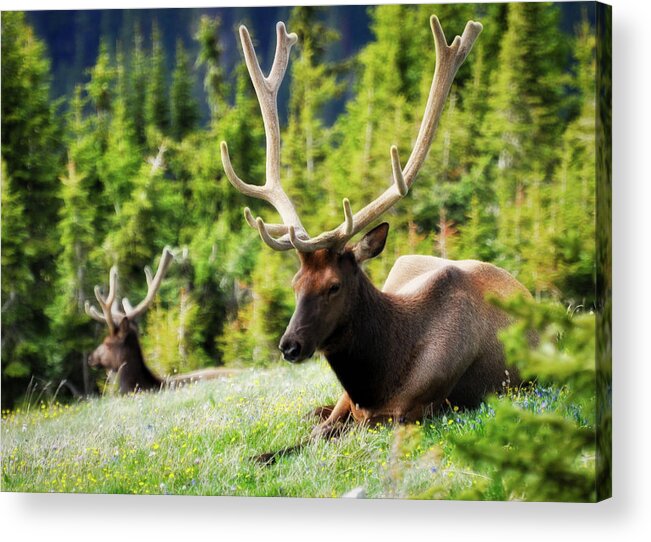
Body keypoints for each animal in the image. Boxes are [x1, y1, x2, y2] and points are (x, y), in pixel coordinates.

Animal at [222, 17, 532, 444]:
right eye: (295, 284)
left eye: (334, 286)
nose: (289, 345)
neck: (380, 379)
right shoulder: (349, 404)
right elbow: (309, 436)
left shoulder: (413, 413)